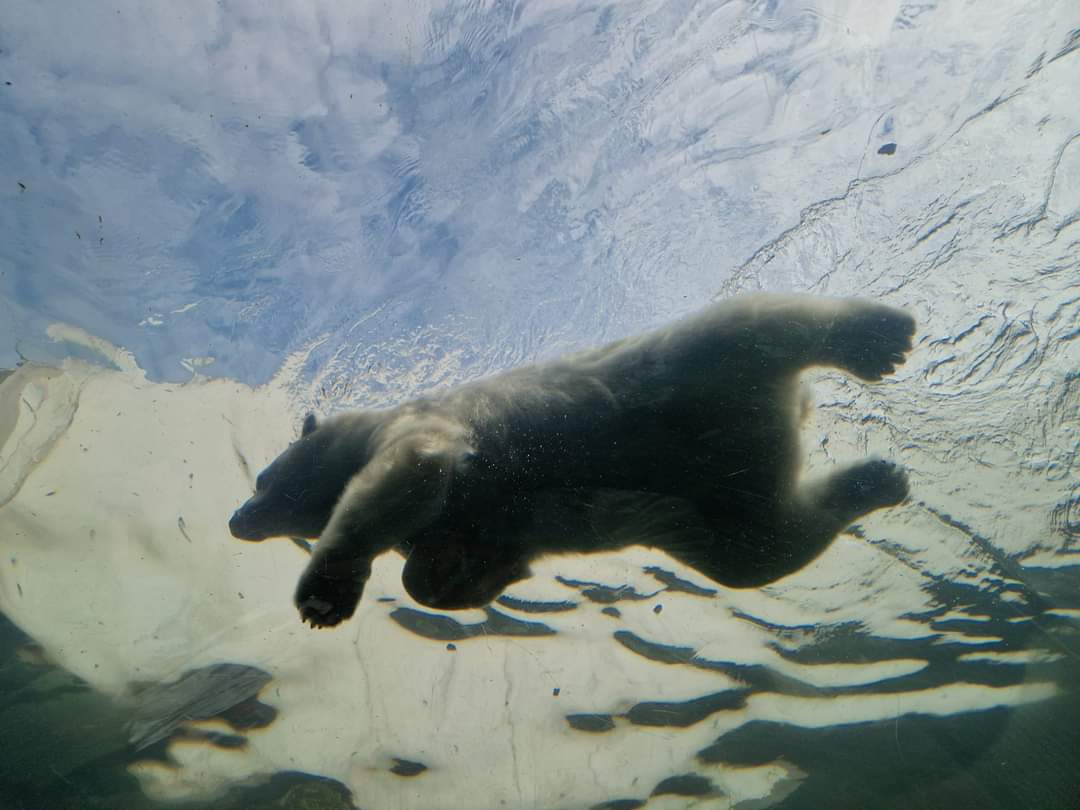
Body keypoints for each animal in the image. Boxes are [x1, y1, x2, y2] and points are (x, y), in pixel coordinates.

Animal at [229, 294, 916, 628]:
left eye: (264, 479)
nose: (237, 519)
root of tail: (782, 415)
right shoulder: (470, 520)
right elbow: (443, 561)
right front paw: (483, 580)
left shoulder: (422, 427)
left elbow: (408, 473)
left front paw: (323, 599)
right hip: (718, 502)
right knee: (759, 550)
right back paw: (878, 480)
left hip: (686, 364)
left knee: (760, 322)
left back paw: (877, 339)